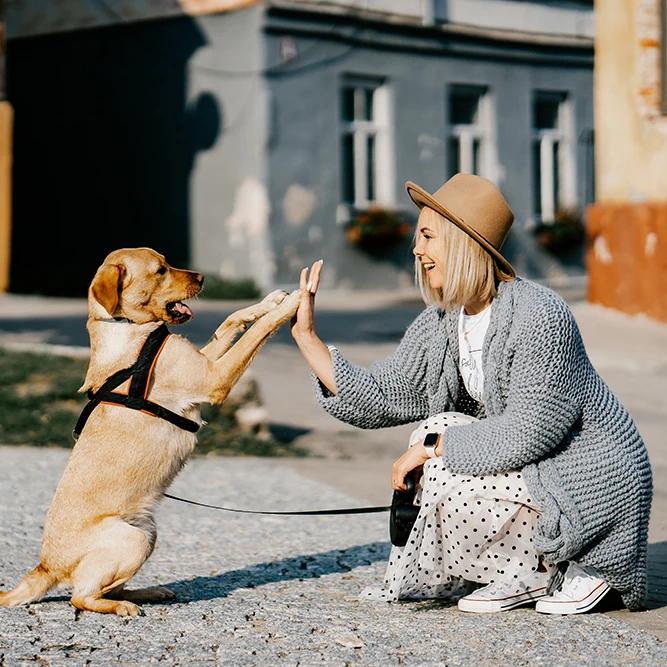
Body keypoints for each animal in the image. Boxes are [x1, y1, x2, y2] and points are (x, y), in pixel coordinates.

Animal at [0, 248, 302, 620]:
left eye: (167, 262)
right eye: (160, 271)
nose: (202, 277)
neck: (128, 328)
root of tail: (46, 566)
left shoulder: (205, 361)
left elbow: (231, 321)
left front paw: (270, 300)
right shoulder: (213, 377)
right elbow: (255, 333)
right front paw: (294, 302)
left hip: (148, 532)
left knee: (106, 587)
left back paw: (148, 592)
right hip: (133, 540)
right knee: (80, 597)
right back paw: (122, 606)